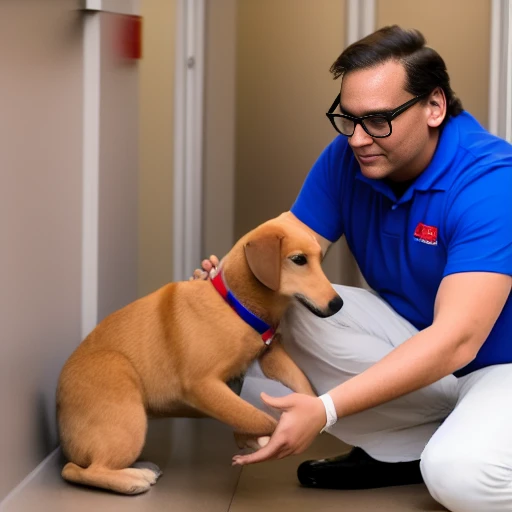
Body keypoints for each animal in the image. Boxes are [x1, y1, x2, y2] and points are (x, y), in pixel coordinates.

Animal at [57, 214, 344, 494]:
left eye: (319, 258)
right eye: (299, 260)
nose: (338, 304)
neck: (234, 306)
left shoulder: (270, 356)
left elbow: (303, 386)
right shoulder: (202, 386)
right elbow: (260, 418)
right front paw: (266, 436)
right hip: (128, 414)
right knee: (78, 470)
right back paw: (132, 479)